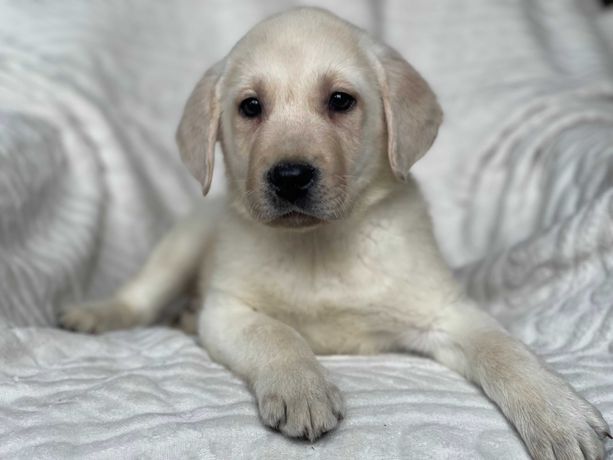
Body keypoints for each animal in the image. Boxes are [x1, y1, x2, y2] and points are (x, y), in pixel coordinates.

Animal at [58, 8, 608, 460]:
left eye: (341, 101)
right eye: (250, 107)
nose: (289, 176)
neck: (319, 244)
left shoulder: (446, 312)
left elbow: (506, 351)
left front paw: (558, 413)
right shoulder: (229, 310)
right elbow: (277, 334)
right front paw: (302, 389)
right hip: (183, 244)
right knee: (140, 296)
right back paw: (95, 313)